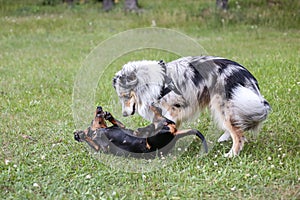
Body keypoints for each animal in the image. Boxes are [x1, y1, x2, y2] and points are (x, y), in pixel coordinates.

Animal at [74, 105, 207, 159]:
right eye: (93, 119)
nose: (99, 107)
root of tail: (175, 135)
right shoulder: (102, 148)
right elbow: (92, 140)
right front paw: (80, 134)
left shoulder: (121, 127)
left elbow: (117, 123)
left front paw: (109, 116)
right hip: (153, 141)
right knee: (160, 122)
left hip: (157, 132)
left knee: (160, 119)